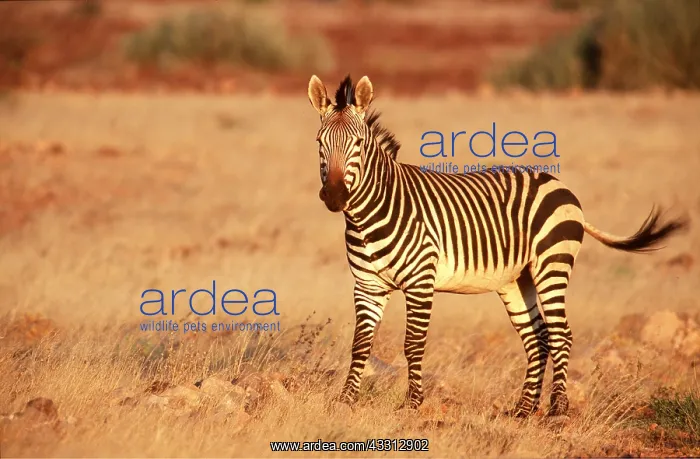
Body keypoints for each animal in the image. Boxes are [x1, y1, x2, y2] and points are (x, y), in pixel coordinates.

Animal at [307, 74, 688, 417]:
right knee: (538, 338)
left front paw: (412, 404)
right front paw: (345, 401)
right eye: (319, 143)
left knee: (561, 335)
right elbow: (360, 345)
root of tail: (559, 183)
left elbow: (413, 345)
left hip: (552, 266)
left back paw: (557, 409)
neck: (368, 215)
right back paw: (523, 409)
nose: (335, 196)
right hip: (516, 280)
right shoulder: (367, 285)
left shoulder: (420, 282)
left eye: (358, 144)